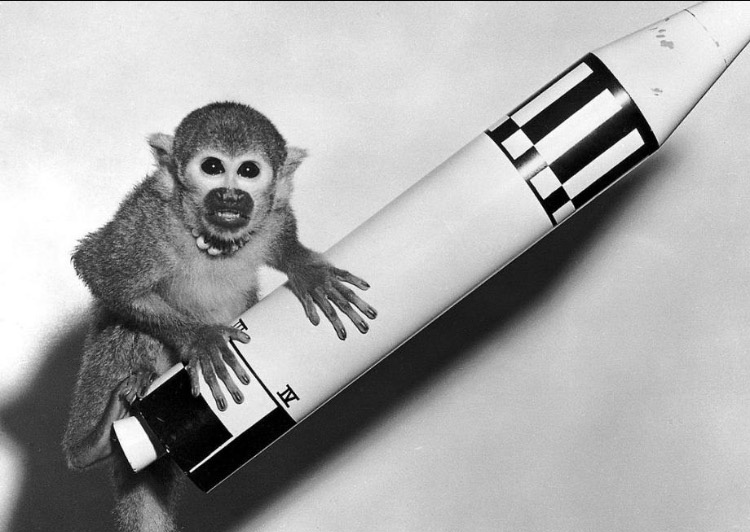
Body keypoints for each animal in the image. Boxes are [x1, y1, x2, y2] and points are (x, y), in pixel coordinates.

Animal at [62, 102, 377, 532]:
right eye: (212, 167)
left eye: (248, 170)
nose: (230, 195)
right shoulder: (149, 222)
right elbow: (99, 269)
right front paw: (201, 339)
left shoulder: (270, 216)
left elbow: (280, 230)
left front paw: (305, 269)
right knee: (126, 326)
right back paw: (89, 446)